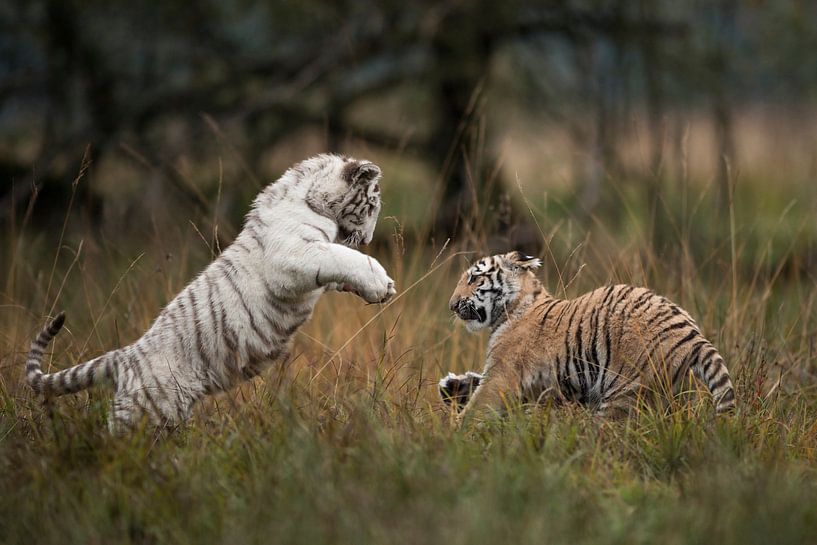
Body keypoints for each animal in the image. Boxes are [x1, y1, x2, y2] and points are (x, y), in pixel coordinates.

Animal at [25, 155, 396, 432]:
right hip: (145, 410)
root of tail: (126, 356)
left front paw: (371, 286)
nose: (367, 239)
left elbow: (339, 264)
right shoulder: (293, 256)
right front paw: (380, 280)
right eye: (372, 204)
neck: (313, 199)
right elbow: (340, 256)